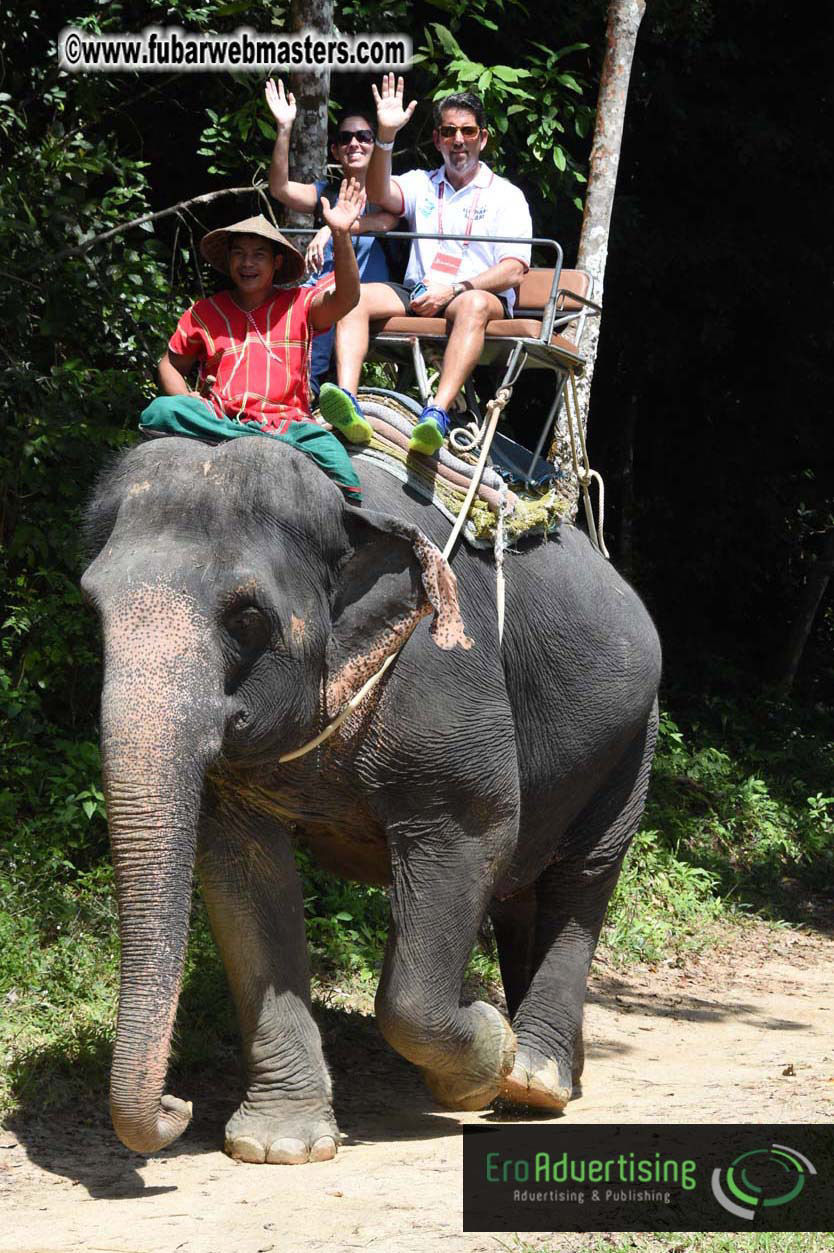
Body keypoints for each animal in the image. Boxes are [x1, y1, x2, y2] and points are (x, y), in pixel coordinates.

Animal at [80, 431, 661, 1165]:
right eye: (93, 608)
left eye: (246, 616)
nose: (175, 1105)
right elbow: (244, 875)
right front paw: (280, 1146)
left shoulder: (444, 684)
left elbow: (475, 834)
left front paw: (481, 1057)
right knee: (522, 890)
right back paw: (554, 1072)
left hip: (632, 742)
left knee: (581, 878)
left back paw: (533, 1081)